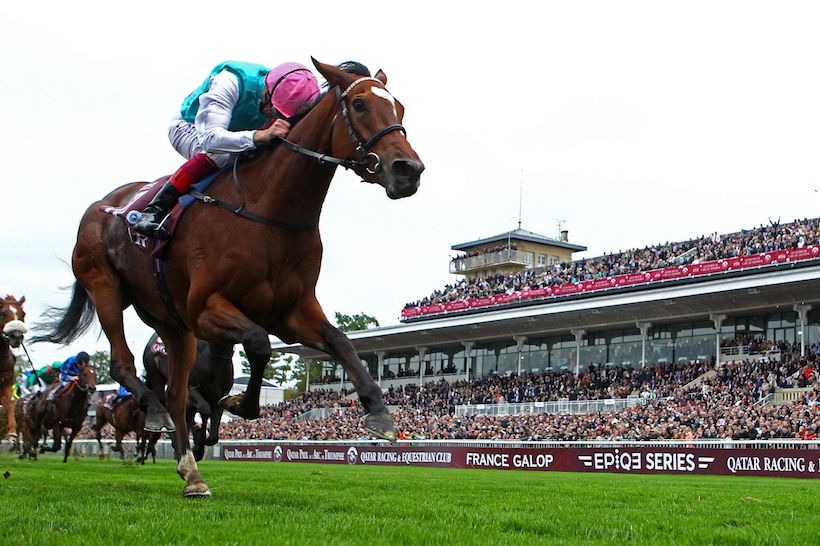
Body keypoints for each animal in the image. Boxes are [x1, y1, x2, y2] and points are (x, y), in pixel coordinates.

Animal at [143, 332, 233, 461]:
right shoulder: (190, 387)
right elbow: (204, 409)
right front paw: (198, 445)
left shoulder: (219, 396)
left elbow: (213, 437)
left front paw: (199, 444)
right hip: (156, 376)